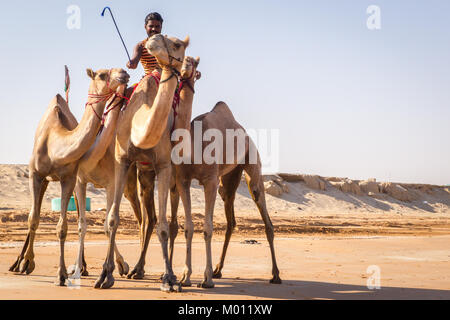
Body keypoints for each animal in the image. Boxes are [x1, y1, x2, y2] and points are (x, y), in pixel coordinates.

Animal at [8, 67, 130, 284]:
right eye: (101, 74)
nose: (124, 73)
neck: (55, 144)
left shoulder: (70, 178)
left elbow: (64, 227)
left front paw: (62, 273)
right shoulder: (35, 174)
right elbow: (33, 218)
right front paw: (28, 263)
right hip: (46, 180)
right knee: (35, 213)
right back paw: (19, 262)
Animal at [94, 33, 189, 292]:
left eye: (178, 44)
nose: (154, 38)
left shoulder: (164, 165)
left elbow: (164, 227)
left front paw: (169, 279)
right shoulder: (122, 160)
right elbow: (113, 219)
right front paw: (105, 275)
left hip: (164, 175)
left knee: (162, 222)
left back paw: (160, 272)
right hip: (137, 175)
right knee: (145, 218)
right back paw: (134, 269)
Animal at [171, 102, 284, 288]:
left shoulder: (210, 181)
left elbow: (208, 228)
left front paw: (206, 279)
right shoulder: (183, 180)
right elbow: (188, 227)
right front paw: (185, 277)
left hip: (252, 161)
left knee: (263, 209)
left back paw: (275, 275)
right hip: (229, 179)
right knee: (231, 220)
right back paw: (218, 270)